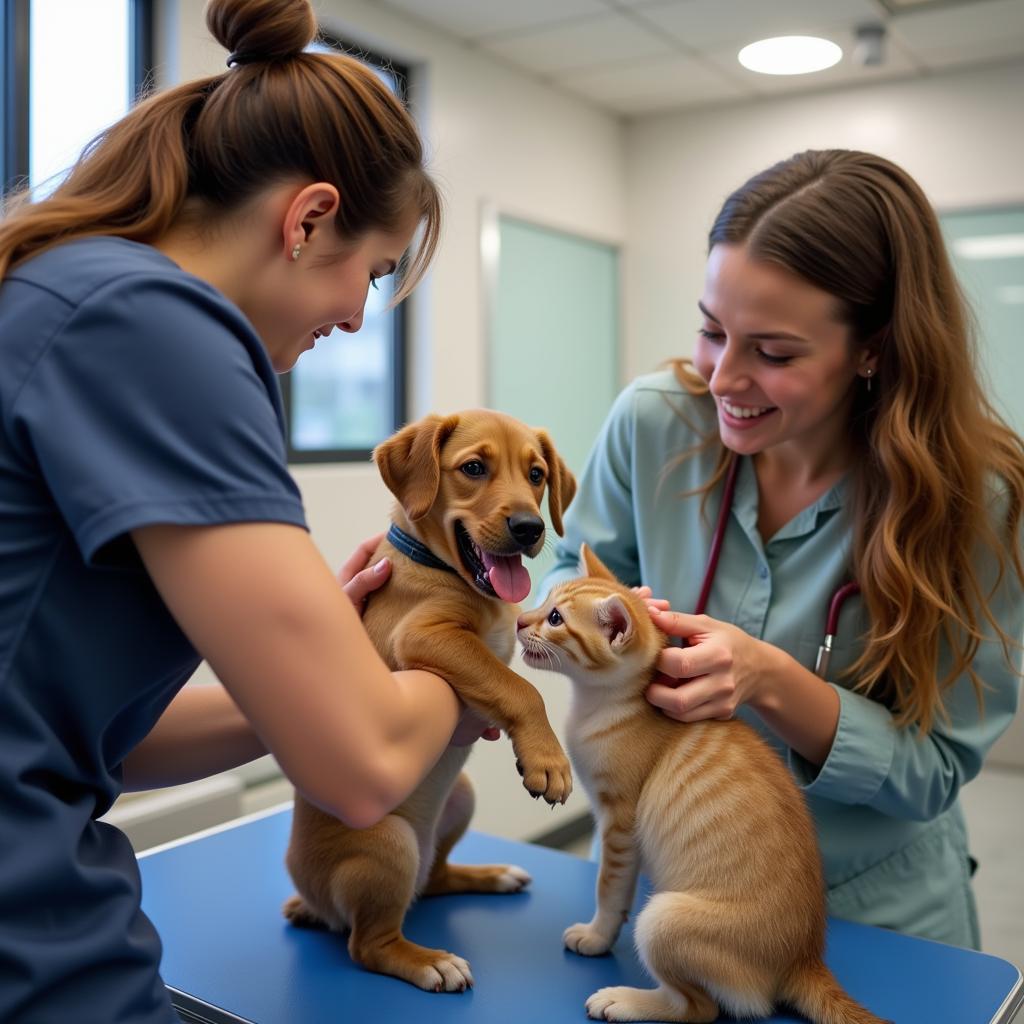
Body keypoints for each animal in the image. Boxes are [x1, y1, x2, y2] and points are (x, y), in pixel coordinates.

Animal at [284, 407, 577, 991]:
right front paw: (548, 761)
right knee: (367, 944)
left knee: (435, 879)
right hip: (389, 842)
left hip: (459, 799)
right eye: (473, 468)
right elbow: (521, 687)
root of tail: (309, 898)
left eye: (537, 475)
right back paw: (427, 961)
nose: (530, 528)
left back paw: (489, 874)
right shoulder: (423, 636)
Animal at [516, 544, 884, 1024]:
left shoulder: (619, 822)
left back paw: (625, 1000)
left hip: (662, 920)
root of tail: (804, 958)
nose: (519, 620)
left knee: (700, 1008)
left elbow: (609, 888)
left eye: (556, 618)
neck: (609, 703)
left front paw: (596, 935)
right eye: (544, 602)